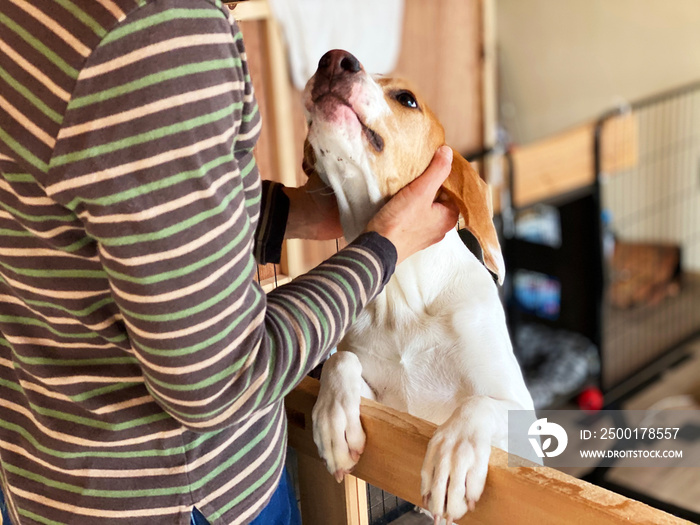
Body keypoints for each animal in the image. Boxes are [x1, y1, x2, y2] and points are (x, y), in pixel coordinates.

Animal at [304, 48, 532, 520]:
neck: (402, 298)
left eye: (407, 99)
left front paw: (454, 455)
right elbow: (340, 361)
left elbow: (479, 403)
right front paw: (333, 418)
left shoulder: (525, 425)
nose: (333, 59)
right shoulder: (382, 403)